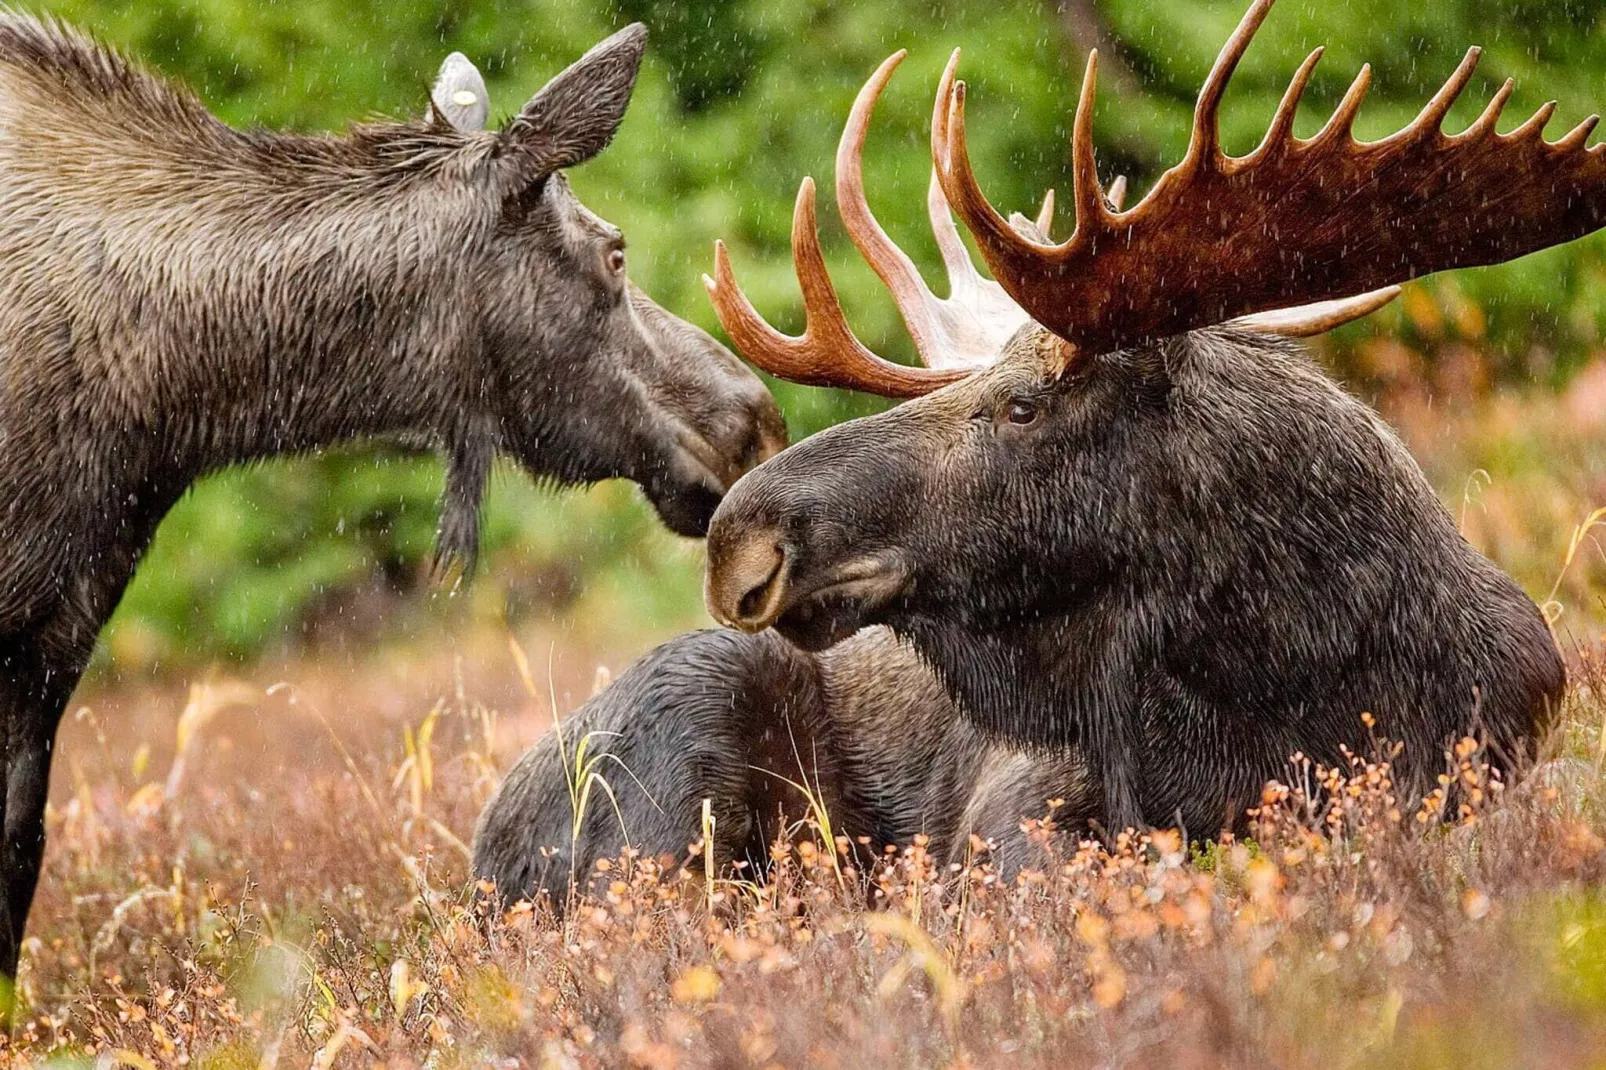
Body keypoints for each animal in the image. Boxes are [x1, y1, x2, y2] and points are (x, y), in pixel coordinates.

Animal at [472, 0, 1580, 906]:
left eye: (1022, 405)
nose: (741, 536)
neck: (1303, 675)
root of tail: (480, 854)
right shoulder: (1017, 814)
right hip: (679, 740)